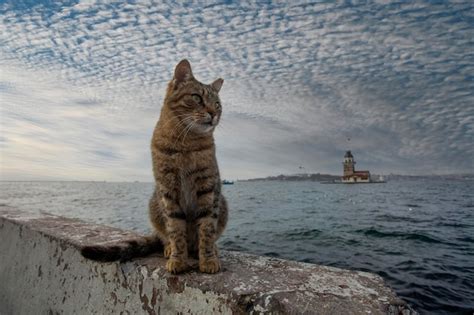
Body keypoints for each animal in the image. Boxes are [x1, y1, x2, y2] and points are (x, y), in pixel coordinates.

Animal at [81, 59, 228, 274]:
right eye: (196, 97)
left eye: (217, 104)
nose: (214, 113)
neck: (186, 142)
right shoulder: (168, 188)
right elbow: (175, 229)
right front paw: (177, 258)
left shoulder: (208, 186)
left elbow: (207, 228)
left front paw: (208, 259)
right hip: (154, 204)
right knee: (165, 236)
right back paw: (169, 248)